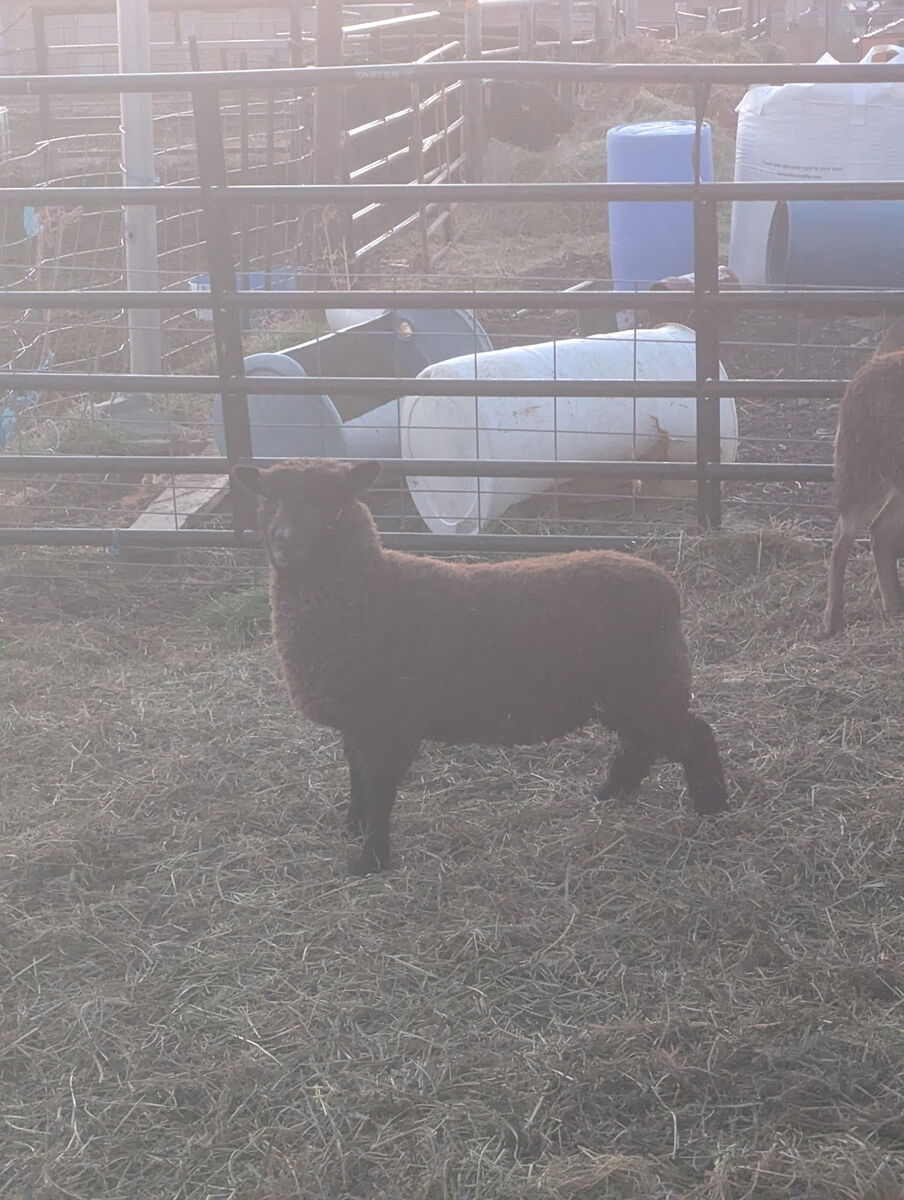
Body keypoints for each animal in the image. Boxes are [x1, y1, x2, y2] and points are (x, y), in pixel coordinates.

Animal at [233, 458, 728, 875]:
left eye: (333, 505)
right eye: (269, 499)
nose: (285, 539)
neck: (370, 591)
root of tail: (667, 587)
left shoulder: (389, 722)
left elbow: (380, 792)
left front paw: (369, 860)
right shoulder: (358, 722)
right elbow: (357, 777)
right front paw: (352, 827)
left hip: (646, 685)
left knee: (693, 736)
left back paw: (711, 807)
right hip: (629, 692)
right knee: (643, 745)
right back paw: (610, 795)